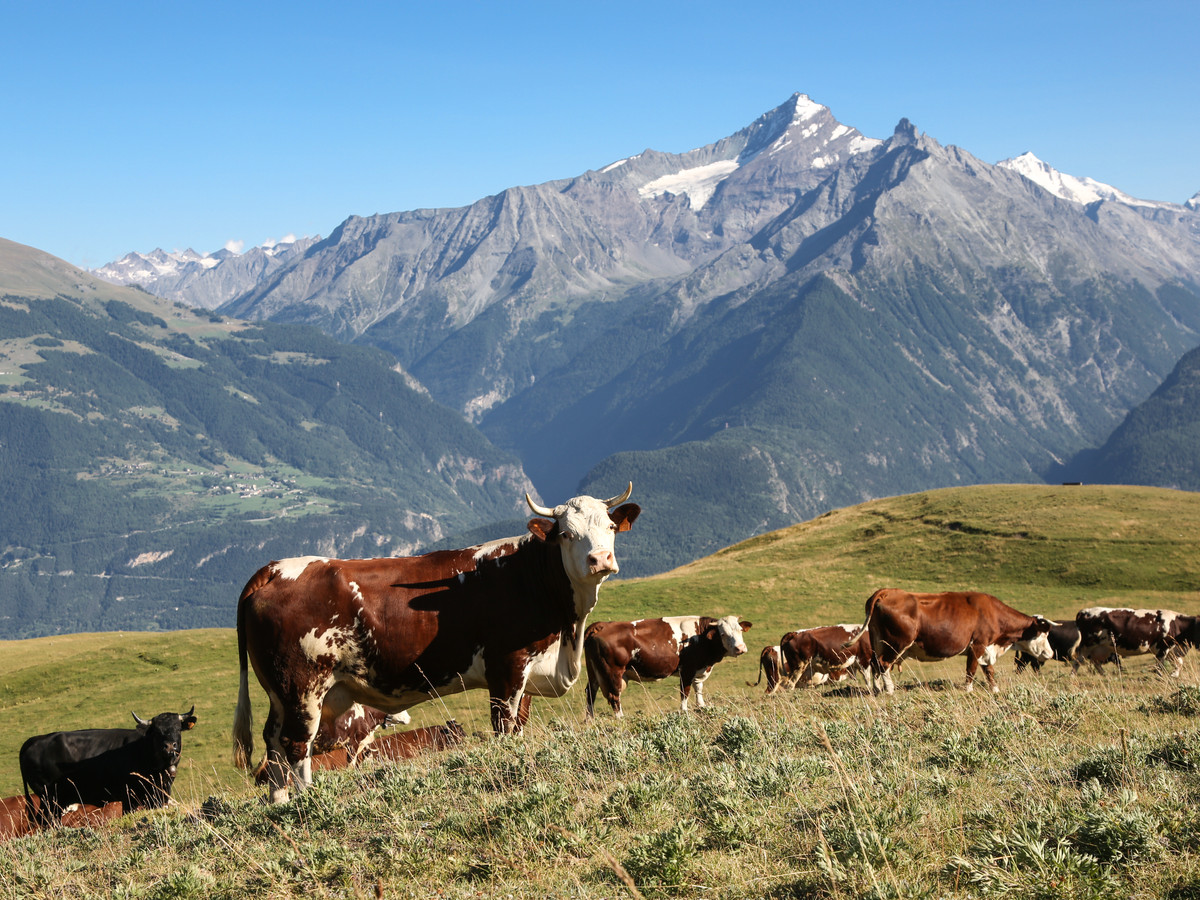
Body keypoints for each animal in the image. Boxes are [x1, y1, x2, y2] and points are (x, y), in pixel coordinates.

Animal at [19, 710, 196, 830]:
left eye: (178, 729)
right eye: (157, 732)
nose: (170, 746)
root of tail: (34, 740)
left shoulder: (158, 795)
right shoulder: (129, 797)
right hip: (49, 797)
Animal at [231, 487, 638, 801]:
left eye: (611, 527)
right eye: (566, 534)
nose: (600, 559)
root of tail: (274, 568)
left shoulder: (527, 674)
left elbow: (520, 726)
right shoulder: (506, 667)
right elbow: (504, 728)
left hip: (280, 692)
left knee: (273, 744)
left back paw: (279, 803)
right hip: (303, 687)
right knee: (296, 745)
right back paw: (306, 801)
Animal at [580, 614, 748, 720]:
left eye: (740, 630)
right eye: (723, 634)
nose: (740, 648)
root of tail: (603, 625)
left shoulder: (699, 669)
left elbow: (698, 688)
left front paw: (701, 706)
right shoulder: (687, 669)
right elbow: (685, 692)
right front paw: (684, 711)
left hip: (594, 672)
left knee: (590, 693)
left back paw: (590, 720)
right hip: (612, 672)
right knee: (614, 696)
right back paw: (620, 719)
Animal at [854, 592, 1051, 696]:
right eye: (1043, 634)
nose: (1050, 654)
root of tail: (888, 592)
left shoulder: (986, 648)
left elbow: (989, 670)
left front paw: (994, 689)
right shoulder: (977, 645)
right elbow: (971, 670)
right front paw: (969, 690)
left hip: (878, 642)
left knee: (875, 663)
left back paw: (877, 689)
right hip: (896, 643)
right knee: (883, 664)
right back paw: (889, 690)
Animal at [1070, 607, 1200, 676]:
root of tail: (1084, 611)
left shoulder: (1173, 649)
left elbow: (1179, 663)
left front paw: (1174, 674)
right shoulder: (1162, 648)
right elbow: (1160, 665)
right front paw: (1160, 676)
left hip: (1101, 648)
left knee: (1095, 662)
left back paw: (1104, 675)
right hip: (1088, 645)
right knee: (1078, 661)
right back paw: (1072, 676)